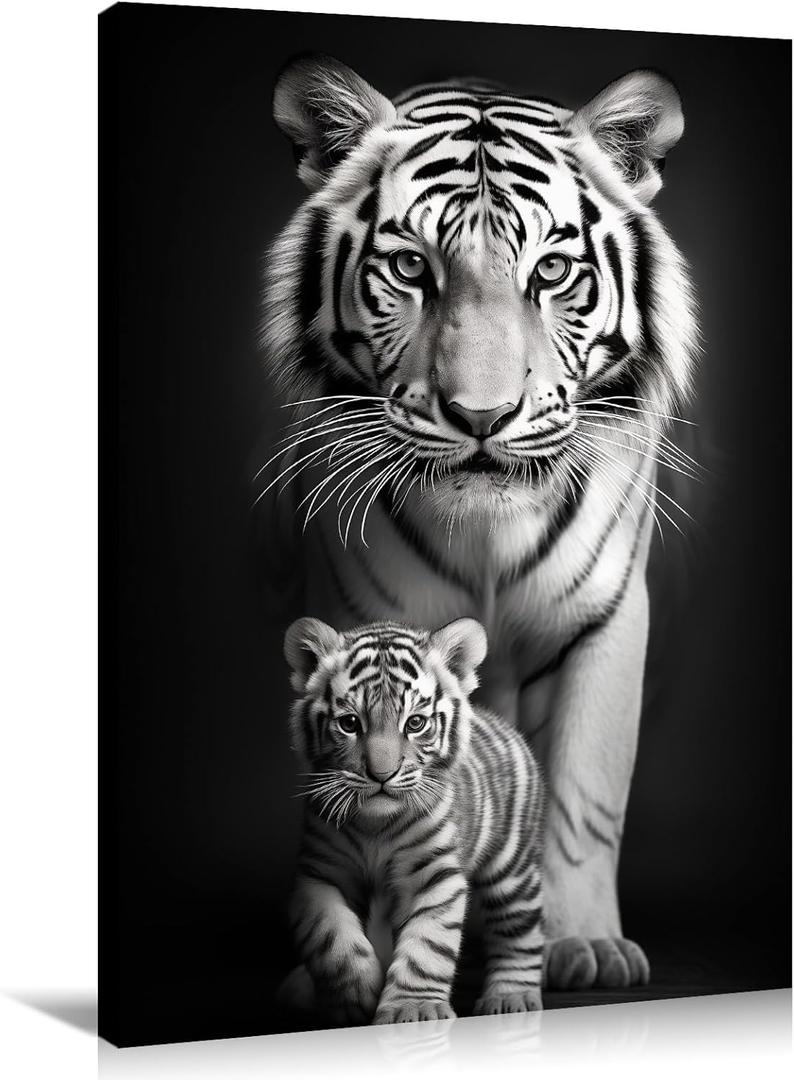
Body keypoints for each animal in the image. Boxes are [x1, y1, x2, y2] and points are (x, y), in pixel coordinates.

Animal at [282, 614, 544, 1024]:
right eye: (350, 723)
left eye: (416, 723)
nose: (381, 775)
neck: (374, 826)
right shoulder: (319, 874)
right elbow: (330, 937)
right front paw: (357, 996)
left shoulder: (435, 875)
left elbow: (428, 947)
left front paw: (415, 1008)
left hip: (512, 866)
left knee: (519, 930)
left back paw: (510, 997)